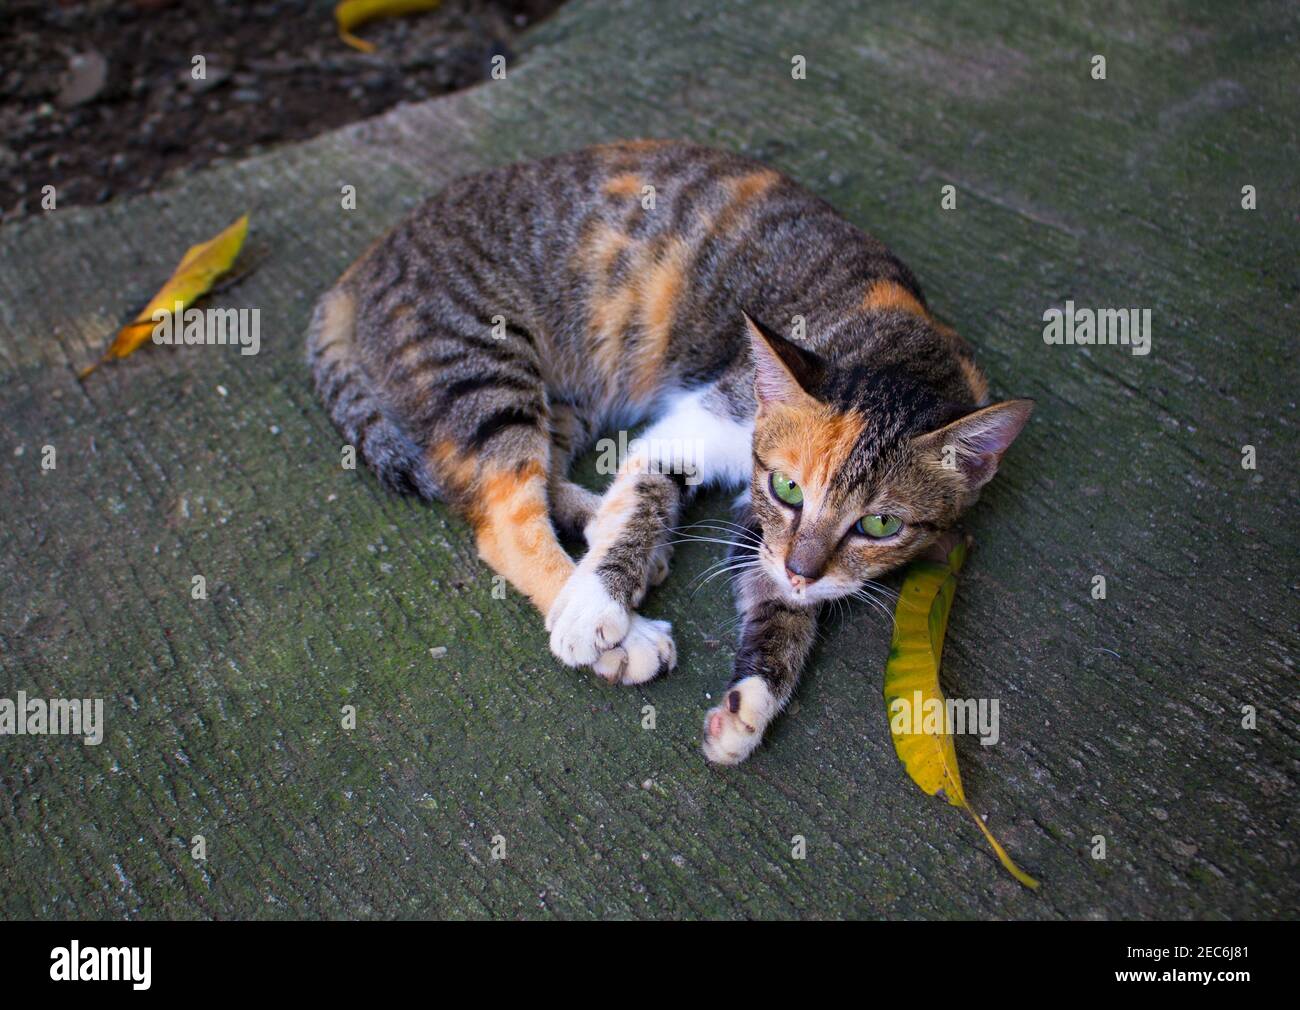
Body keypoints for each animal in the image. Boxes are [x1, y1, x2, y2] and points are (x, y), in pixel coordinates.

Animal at [304, 139, 1024, 764]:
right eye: (790, 487)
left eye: (879, 525)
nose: (803, 570)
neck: (889, 340)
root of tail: (362, 265)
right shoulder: (698, 430)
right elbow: (646, 499)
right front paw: (597, 605)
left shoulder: (774, 538)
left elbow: (782, 611)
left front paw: (750, 704)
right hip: (486, 371)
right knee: (504, 516)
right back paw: (609, 617)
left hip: (566, 394)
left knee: (546, 477)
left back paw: (597, 527)